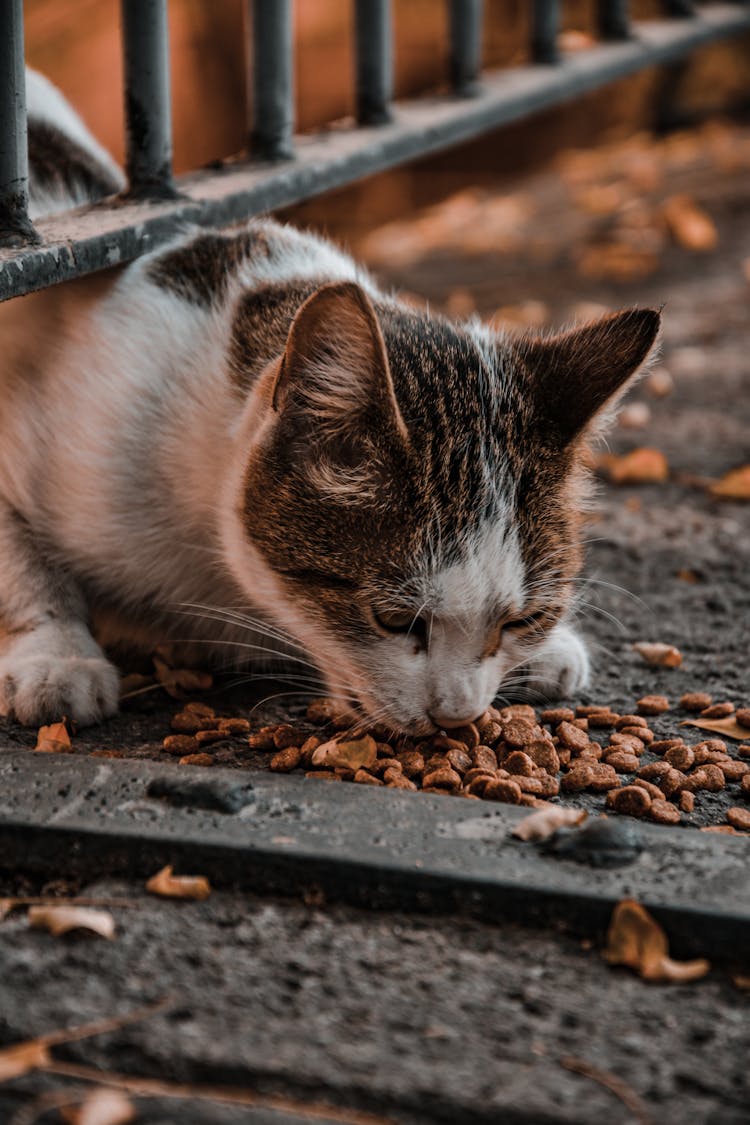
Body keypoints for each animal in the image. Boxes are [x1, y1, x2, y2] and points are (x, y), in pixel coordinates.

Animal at [0, 74, 661, 733]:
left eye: (520, 621)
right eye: (394, 620)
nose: (456, 716)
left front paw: (551, 648)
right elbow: (24, 566)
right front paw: (57, 655)